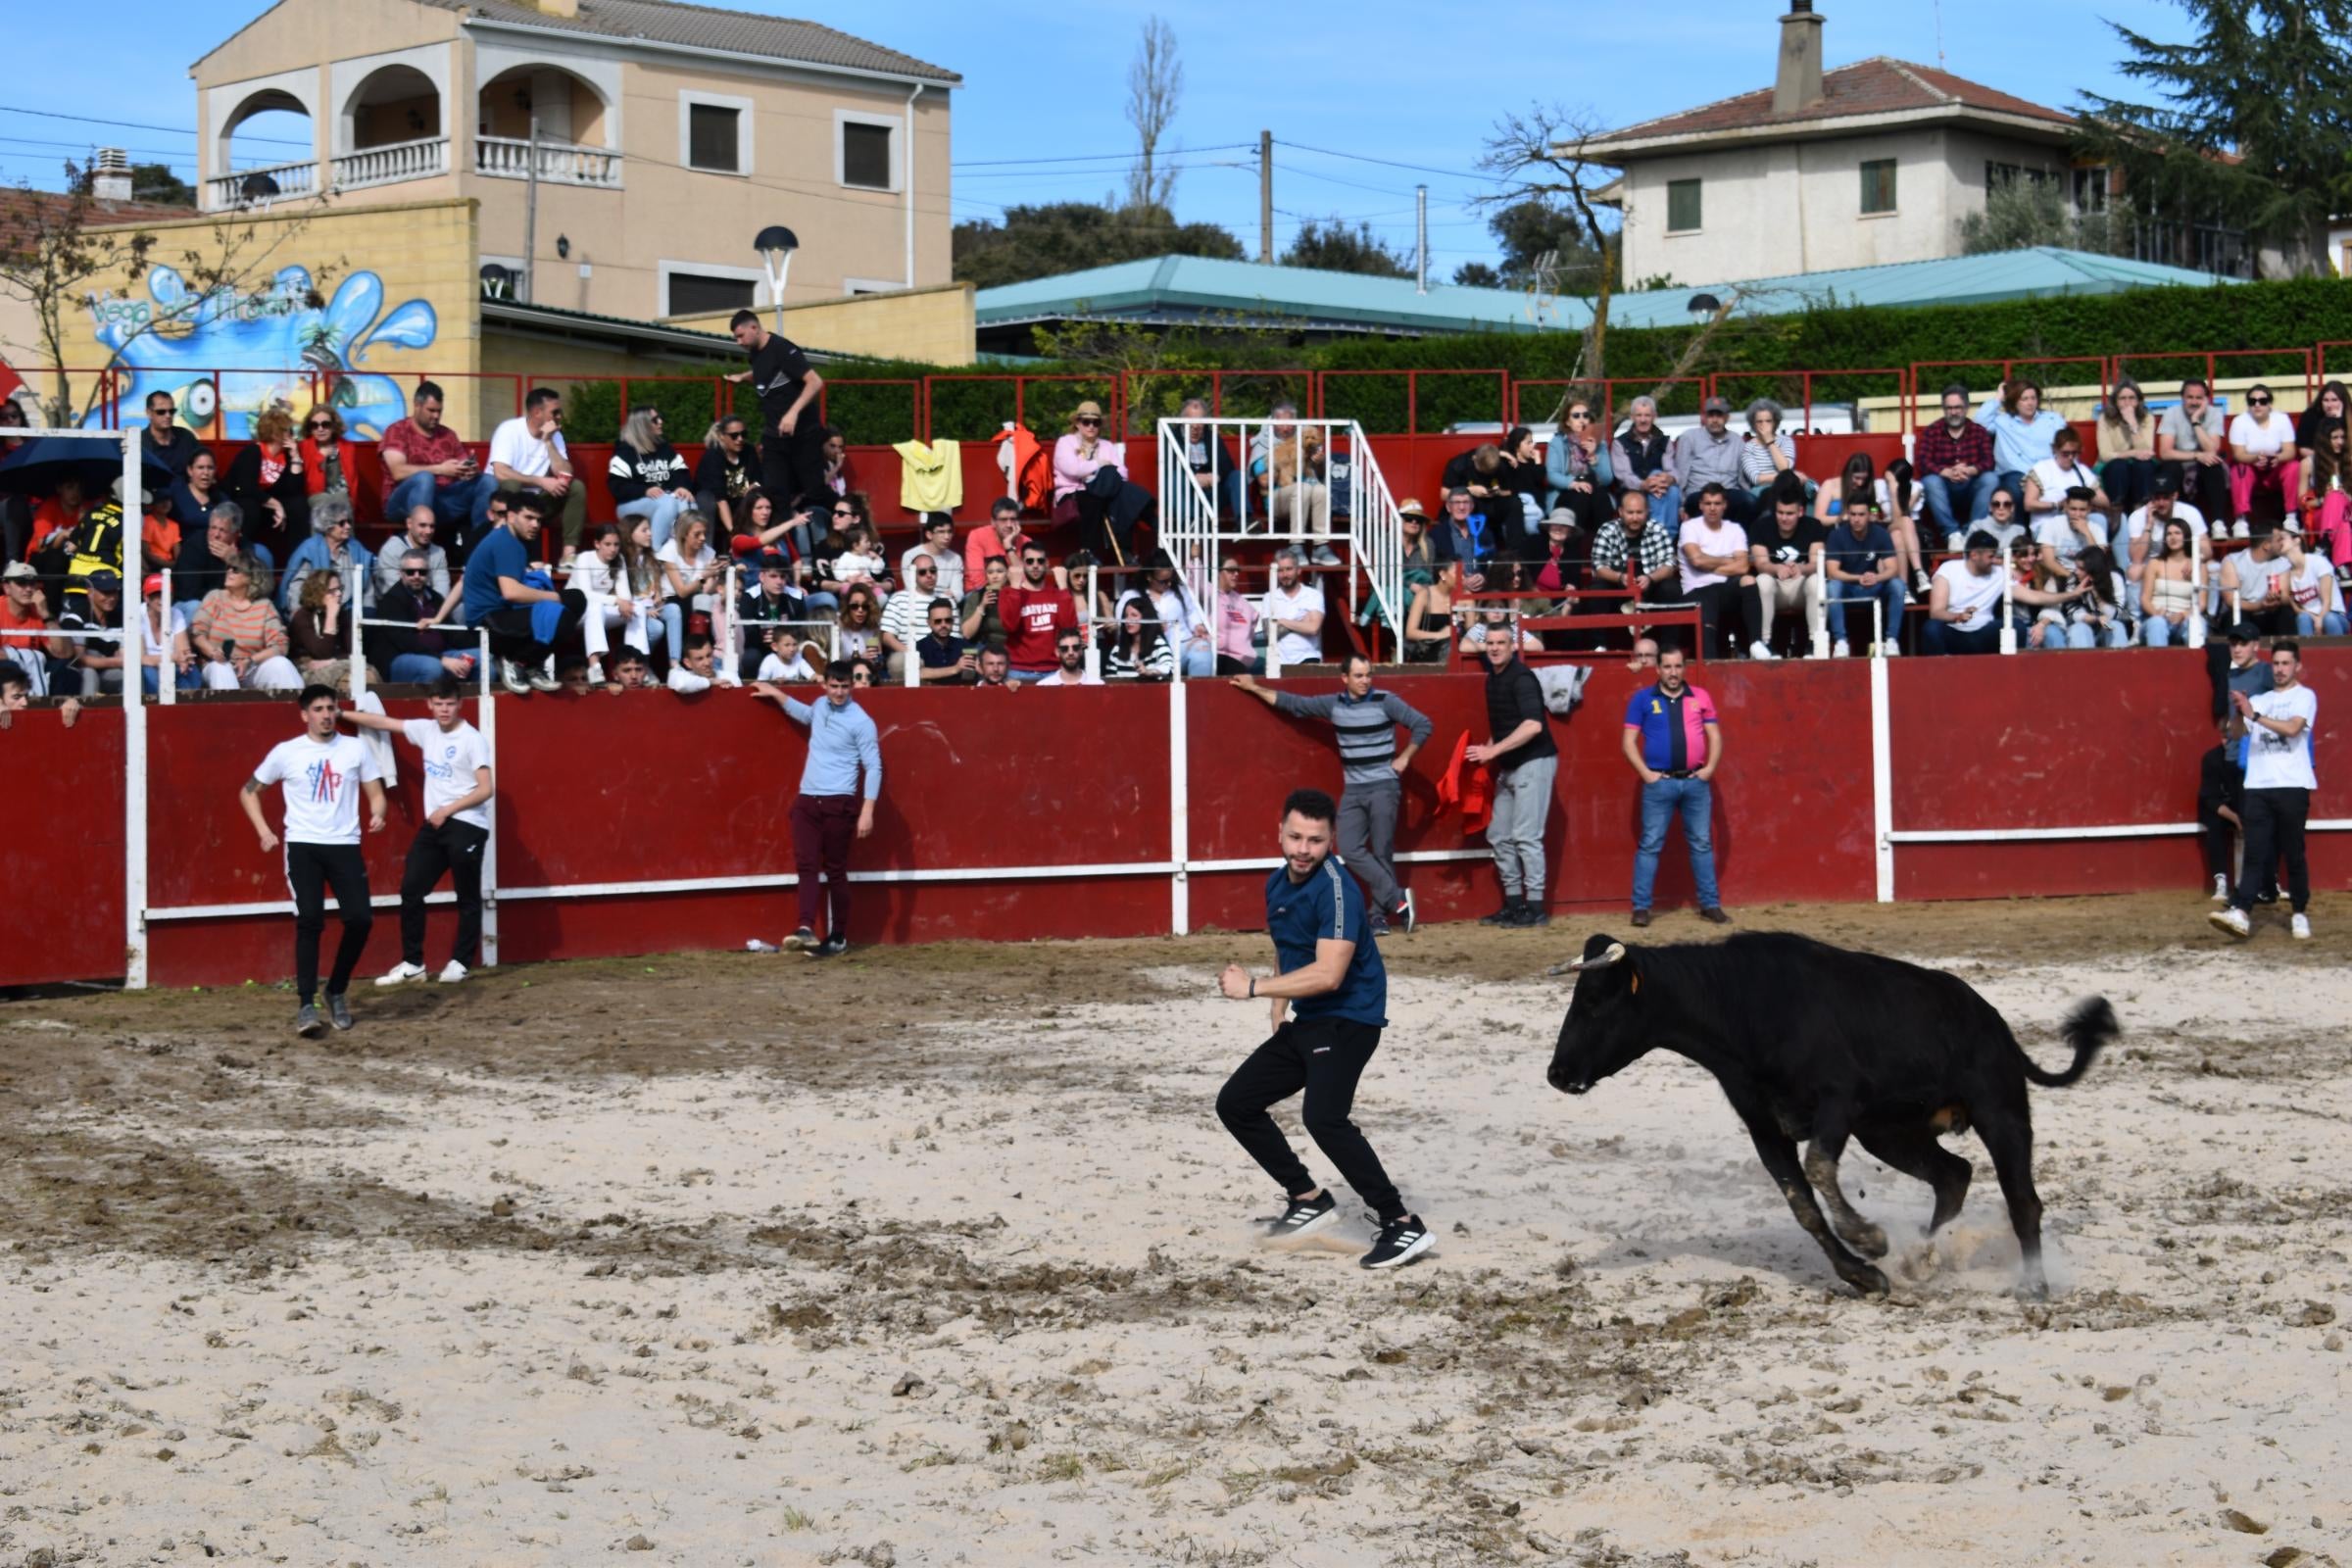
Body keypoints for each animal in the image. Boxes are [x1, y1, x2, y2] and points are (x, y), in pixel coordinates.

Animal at [1543, 930, 2117, 1298]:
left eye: (1594, 1000)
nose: (1557, 1072)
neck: (1743, 1006)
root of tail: (1995, 1022)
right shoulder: (1765, 1128)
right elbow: (1803, 1204)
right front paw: (1863, 1274)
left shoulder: (1839, 1101)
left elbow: (1819, 1168)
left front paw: (1870, 1239)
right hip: (1891, 1133)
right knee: (1953, 1175)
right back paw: (1922, 1258)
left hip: (2001, 1112)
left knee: (2023, 1201)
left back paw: (2034, 1286)